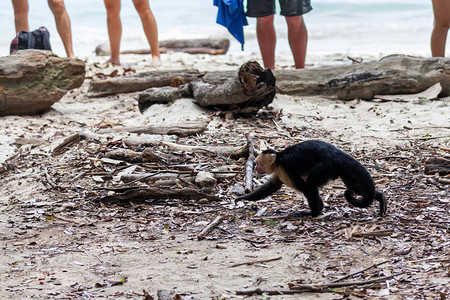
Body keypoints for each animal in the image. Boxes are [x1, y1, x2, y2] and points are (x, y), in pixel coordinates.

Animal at [237, 141, 388, 218]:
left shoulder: (284, 168)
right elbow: (272, 186)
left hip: (326, 165)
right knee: (354, 187)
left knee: (310, 185)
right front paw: (242, 198)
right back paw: (380, 197)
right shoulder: (279, 171)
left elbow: (305, 187)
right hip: (341, 168)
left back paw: (313, 213)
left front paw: (318, 209)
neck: (278, 160)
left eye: (258, 163)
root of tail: (336, 152)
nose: (256, 169)